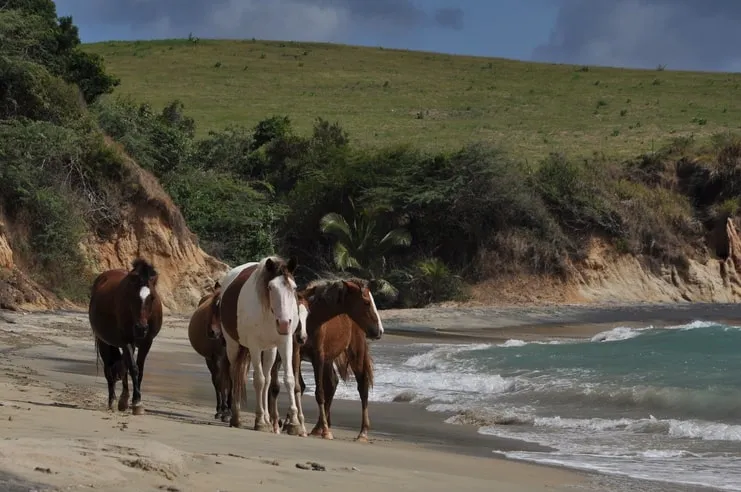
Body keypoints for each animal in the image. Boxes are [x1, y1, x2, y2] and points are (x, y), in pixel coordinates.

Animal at [89, 258, 163, 415]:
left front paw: (135, 401)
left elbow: (139, 369)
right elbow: (133, 368)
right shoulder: (126, 341)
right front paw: (136, 402)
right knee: (109, 369)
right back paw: (113, 401)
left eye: (152, 297)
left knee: (123, 366)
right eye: (132, 296)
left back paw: (123, 399)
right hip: (104, 342)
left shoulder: (147, 342)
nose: (141, 328)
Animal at [217, 256, 303, 432]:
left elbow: (288, 379)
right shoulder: (254, 346)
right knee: (235, 375)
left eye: (294, 287)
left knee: (268, 379)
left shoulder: (285, 343)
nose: (284, 324)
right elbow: (259, 380)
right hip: (233, 345)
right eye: (270, 287)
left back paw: (268, 419)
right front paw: (260, 421)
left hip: (270, 349)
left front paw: (294, 422)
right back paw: (236, 417)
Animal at [268, 277, 383, 442]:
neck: (314, 319)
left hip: (355, 352)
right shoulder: (296, 352)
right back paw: (318, 427)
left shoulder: (318, 355)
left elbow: (319, 392)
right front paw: (289, 423)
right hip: (329, 359)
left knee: (362, 386)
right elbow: (297, 386)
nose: (379, 331)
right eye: (367, 302)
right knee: (332, 383)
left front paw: (323, 431)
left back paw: (362, 432)